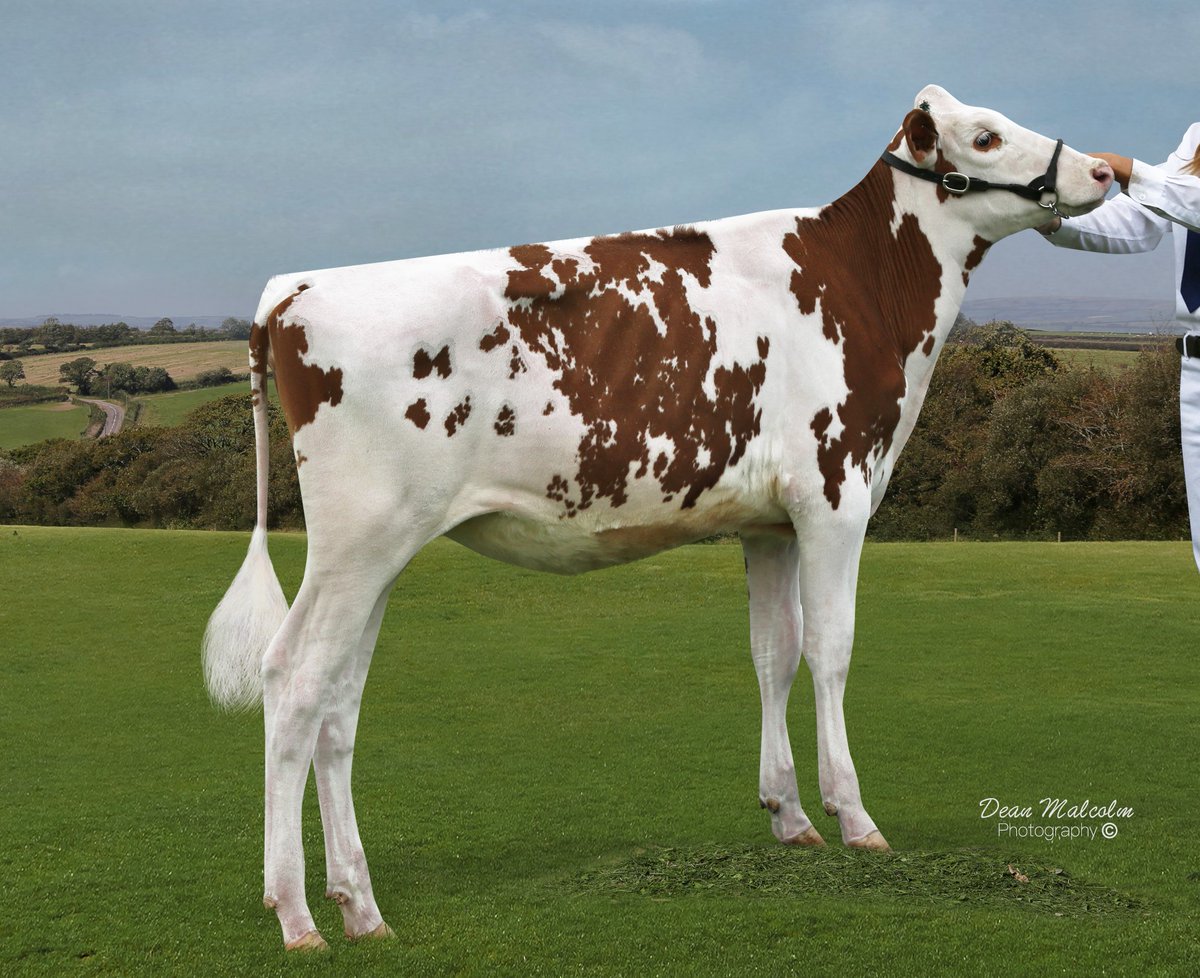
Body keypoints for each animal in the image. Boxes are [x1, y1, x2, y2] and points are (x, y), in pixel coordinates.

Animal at [203, 85, 1114, 950]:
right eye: (986, 136)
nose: (1103, 169)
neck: (863, 283)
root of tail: (297, 287)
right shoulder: (836, 494)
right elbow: (831, 650)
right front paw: (855, 820)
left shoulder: (768, 523)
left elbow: (773, 653)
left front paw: (789, 818)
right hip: (359, 540)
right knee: (294, 679)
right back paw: (298, 916)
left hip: (377, 554)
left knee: (339, 701)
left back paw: (359, 906)